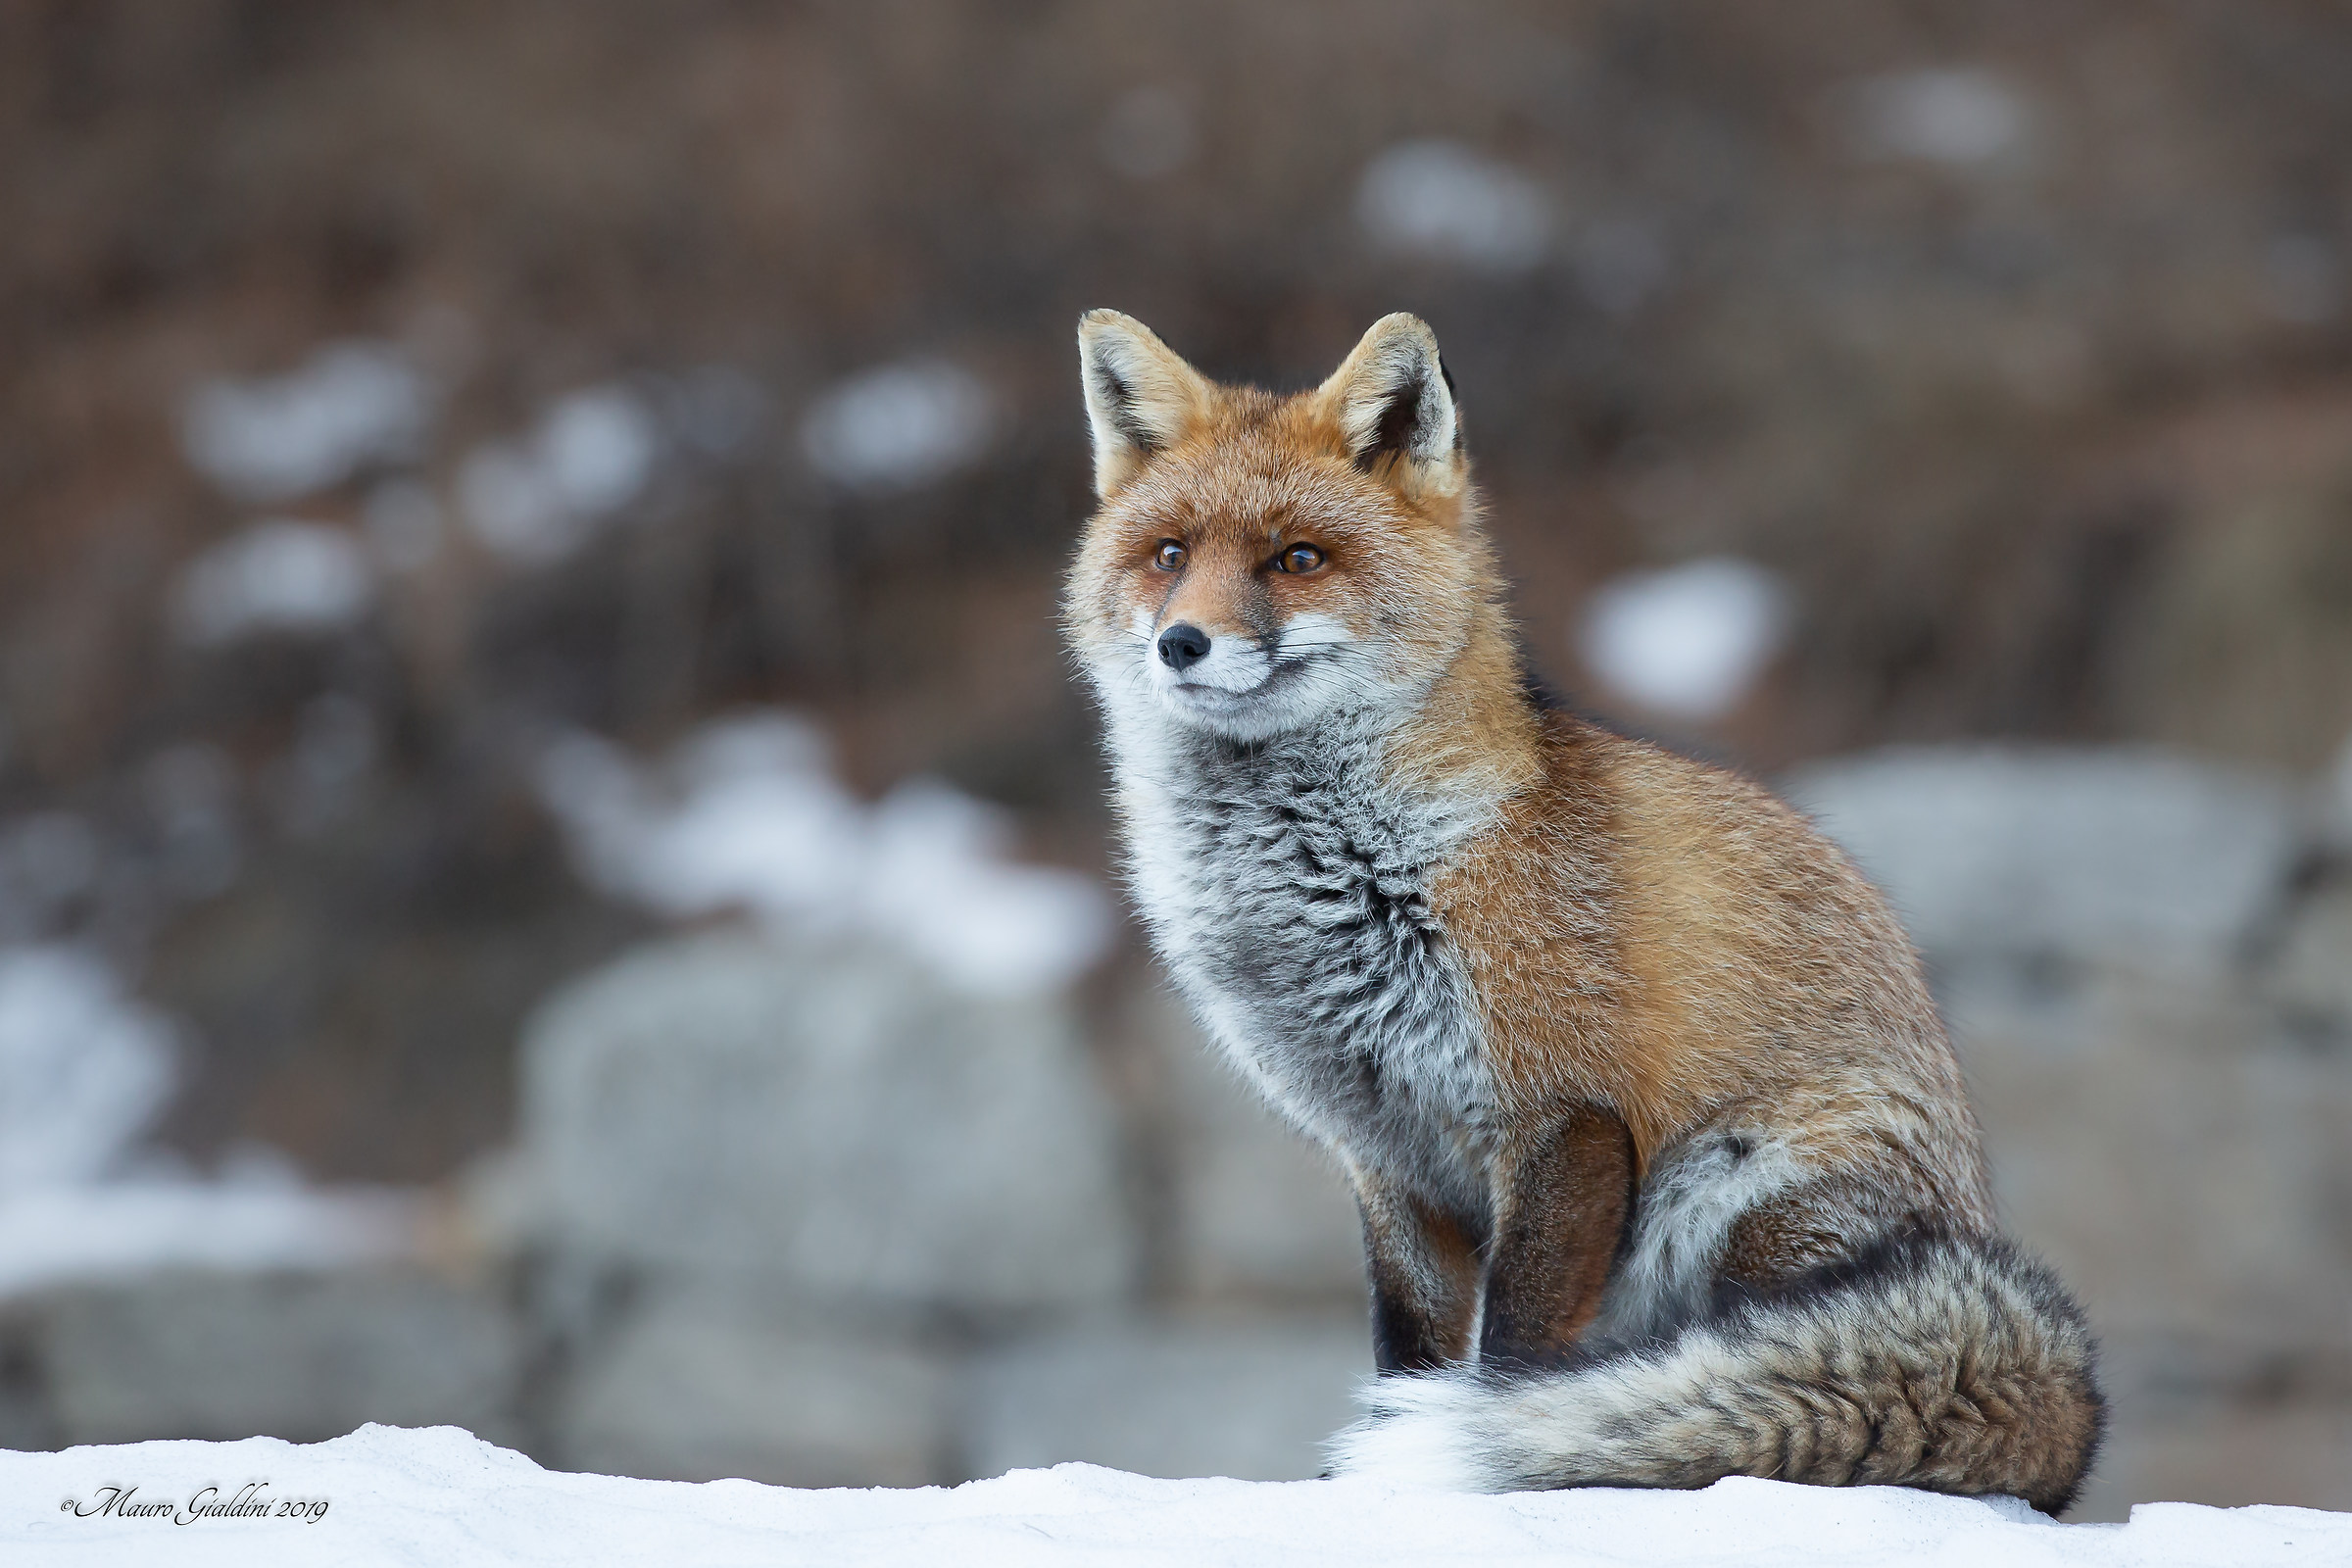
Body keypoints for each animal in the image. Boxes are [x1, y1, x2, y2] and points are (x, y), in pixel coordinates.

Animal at [1062, 309, 2104, 1512]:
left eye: (1297, 559)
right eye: (1170, 555)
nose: (1180, 642)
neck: (1345, 874)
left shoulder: (1566, 1114)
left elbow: (1506, 1359)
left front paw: (1498, 1456)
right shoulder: (1386, 1155)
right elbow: (1405, 1360)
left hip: (1730, 1190)